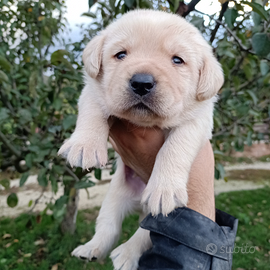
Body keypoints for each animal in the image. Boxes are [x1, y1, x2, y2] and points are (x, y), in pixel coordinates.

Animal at [58, 9, 224, 270]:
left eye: (178, 60)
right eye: (121, 54)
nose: (142, 82)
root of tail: (138, 203)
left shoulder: (198, 121)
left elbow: (175, 147)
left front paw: (164, 189)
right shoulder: (94, 92)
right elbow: (92, 112)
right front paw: (85, 146)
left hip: (156, 215)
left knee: (144, 234)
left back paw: (126, 254)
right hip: (114, 197)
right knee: (108, 227)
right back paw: (91, 249)